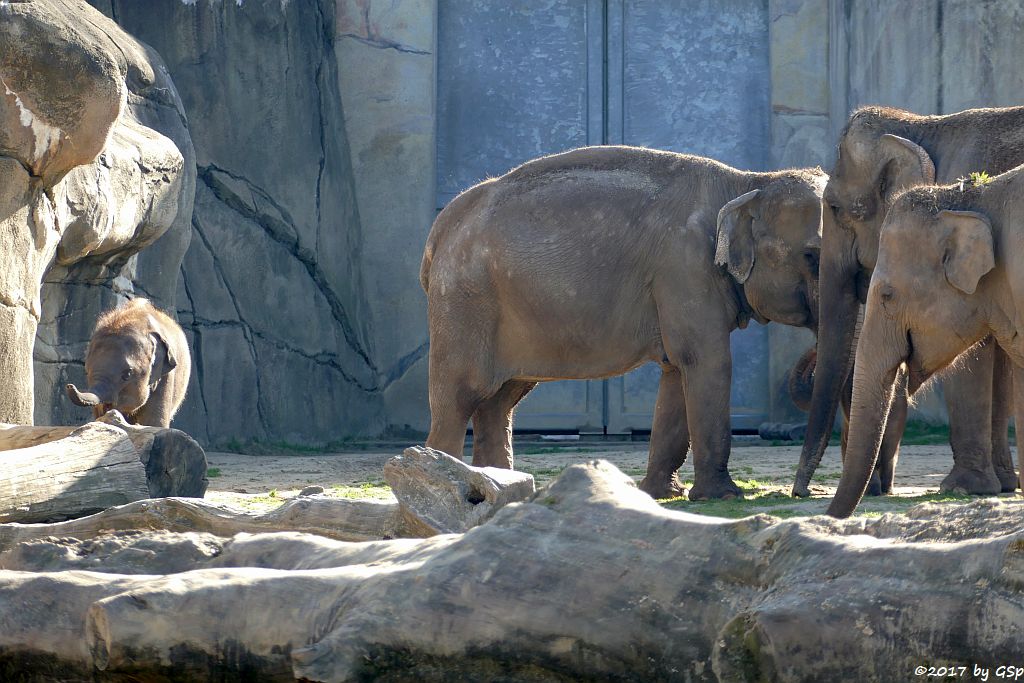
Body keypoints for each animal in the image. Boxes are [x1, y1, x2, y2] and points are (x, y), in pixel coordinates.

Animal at [419, 144, 827, 499]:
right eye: (812, 256)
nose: (803, 492)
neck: (748, 182)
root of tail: (439, 229)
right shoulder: (684, 267)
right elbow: (707, 361)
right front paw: (722, 497)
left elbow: (678, 369)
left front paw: (662, 494)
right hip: (463, 300)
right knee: (460, 396)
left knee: (501, 400)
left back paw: (504, 489)